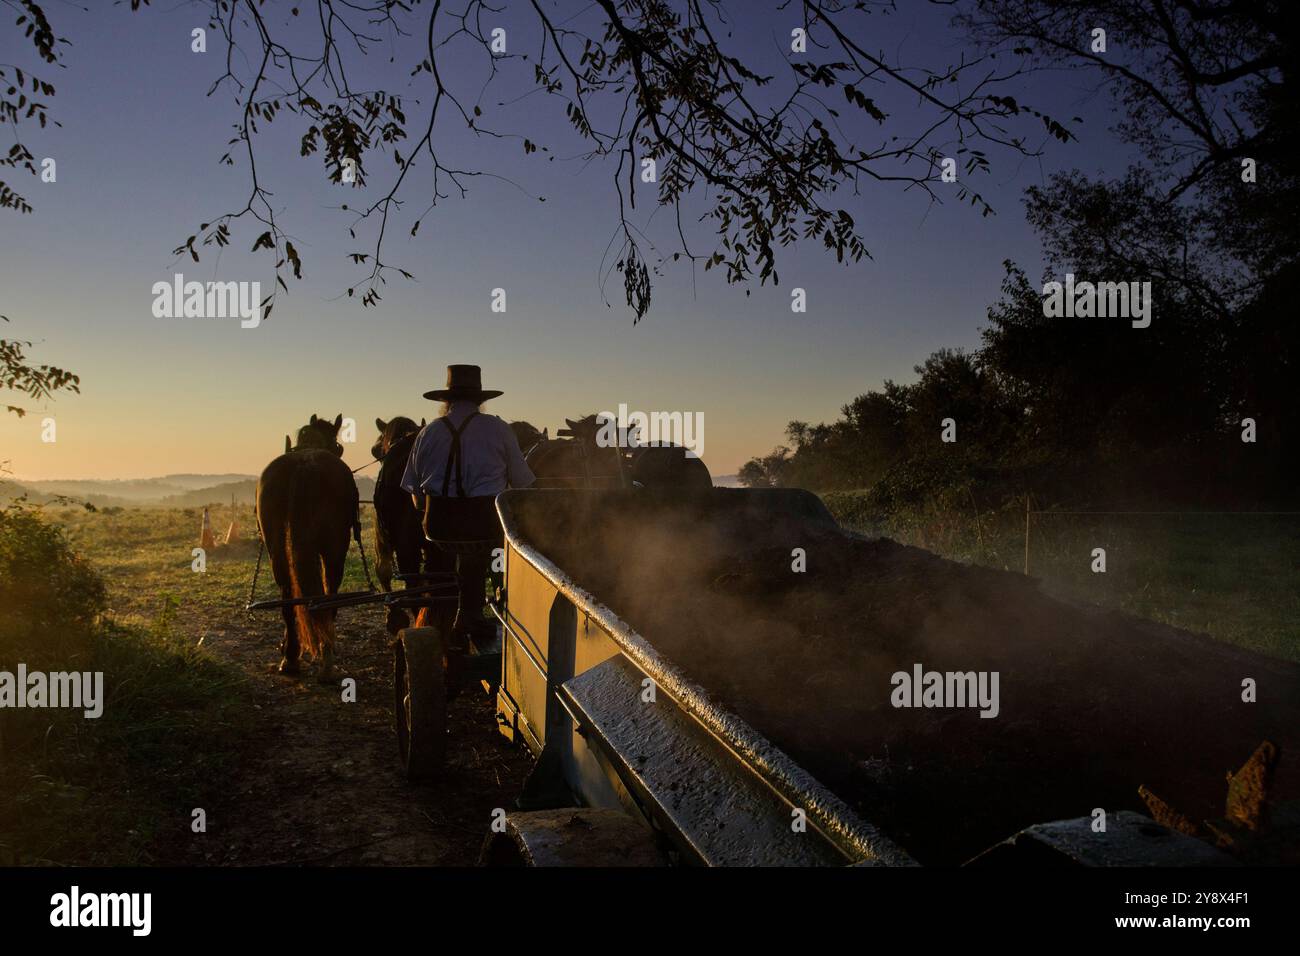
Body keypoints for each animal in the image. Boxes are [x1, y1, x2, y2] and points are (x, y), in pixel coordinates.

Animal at [256, 411, 358, 681]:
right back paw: (326, 658)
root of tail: (302, 466)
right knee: (329, 593)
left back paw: (291, 657)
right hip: (335, 551)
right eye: (338, 446)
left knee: (287, 595)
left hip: (277, 551)